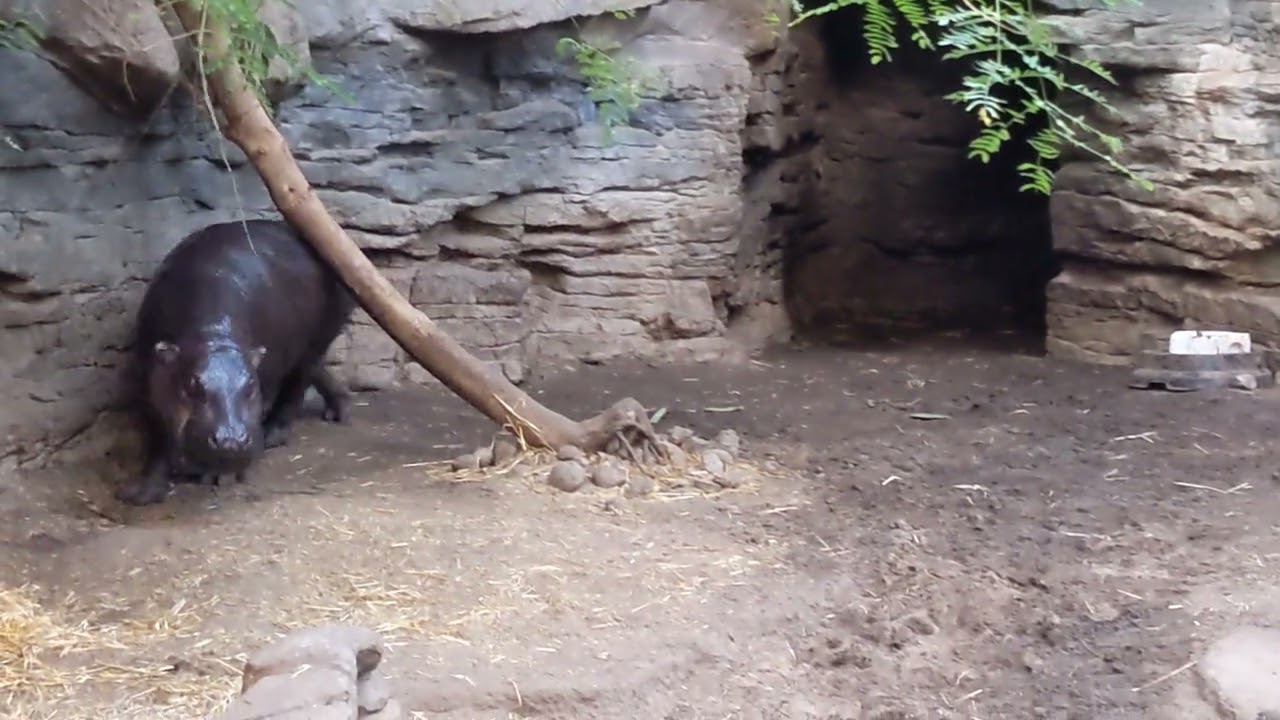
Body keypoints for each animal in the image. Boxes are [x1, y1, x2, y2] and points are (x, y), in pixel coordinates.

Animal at [115, 218, 358, 506]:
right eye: (192, 385)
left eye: (251, 385)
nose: (231, 441)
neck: (212, 336)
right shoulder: (151, 380)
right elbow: (158, 436)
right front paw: (140, 494)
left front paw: (219, 477)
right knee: (316, 371)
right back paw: (339, 411)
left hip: (316, 339)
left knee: (297, 384)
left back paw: (274, 434)